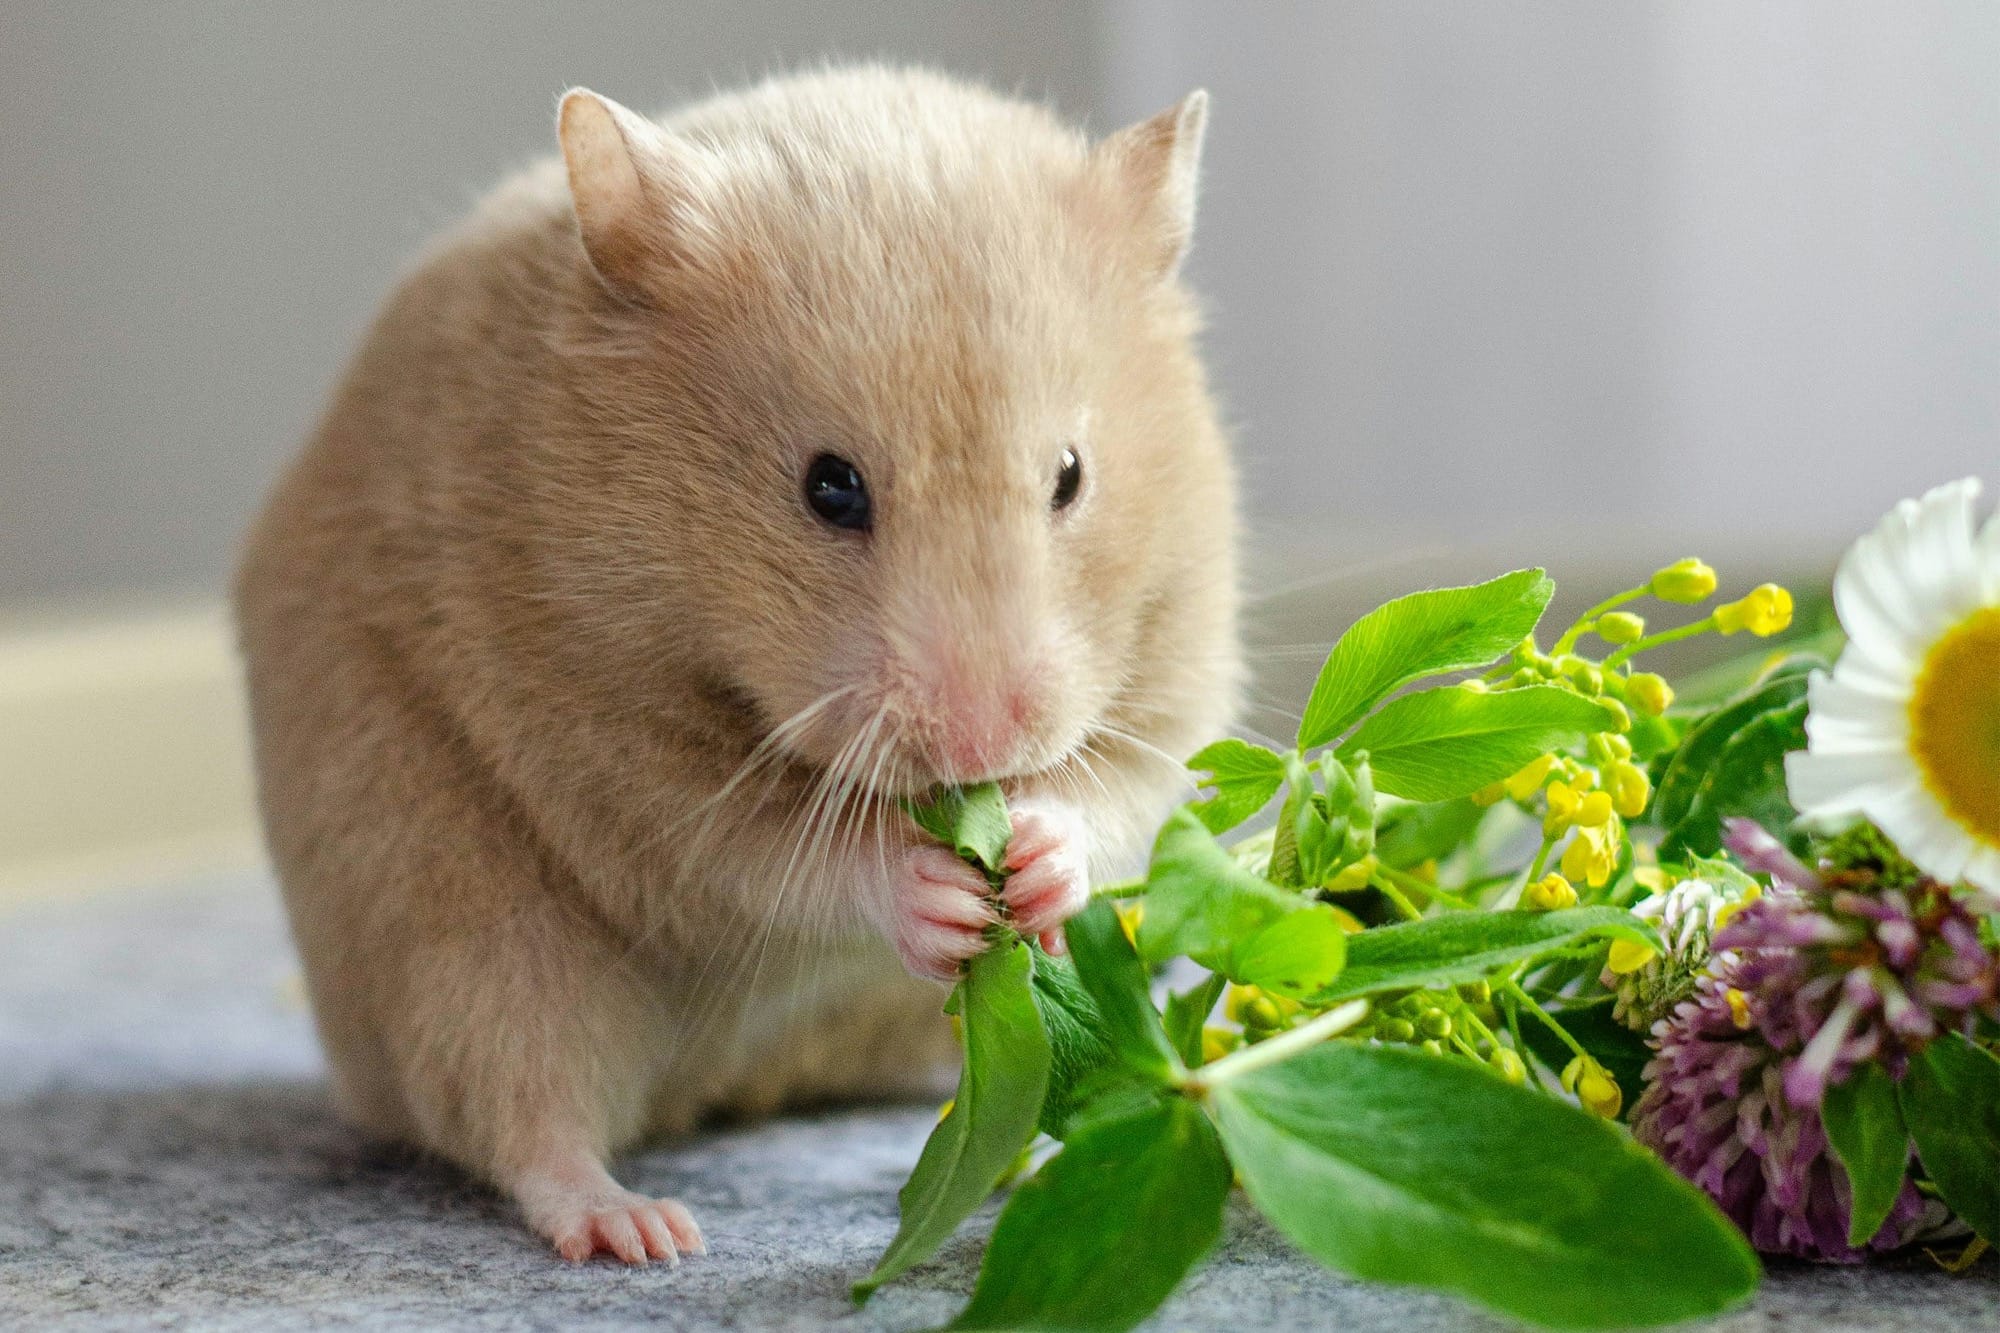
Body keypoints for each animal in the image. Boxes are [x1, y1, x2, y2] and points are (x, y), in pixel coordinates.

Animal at [234, 65, 1240, 1265]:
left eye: (1072, 476)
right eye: (828, 487)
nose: (982, 743)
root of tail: (719, 1091)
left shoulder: (1178, 672)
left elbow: (1120, 791)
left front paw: (1034, 857)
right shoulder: (630, 760)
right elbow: (782, 857)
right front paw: (939, 893)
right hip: (454, 922)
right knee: (520, 1107)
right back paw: (640, 1230)